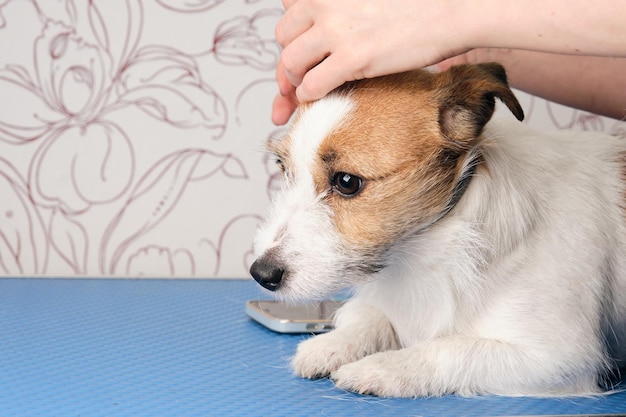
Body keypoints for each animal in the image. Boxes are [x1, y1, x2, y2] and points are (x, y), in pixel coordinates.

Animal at [249, 63, 624, 398]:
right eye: (283, 168)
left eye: (346, 182)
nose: (261, 274)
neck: (424, 249)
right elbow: (372, 317)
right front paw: (331, 345)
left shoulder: (559, 357)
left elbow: (449, 349)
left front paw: (383, 368)